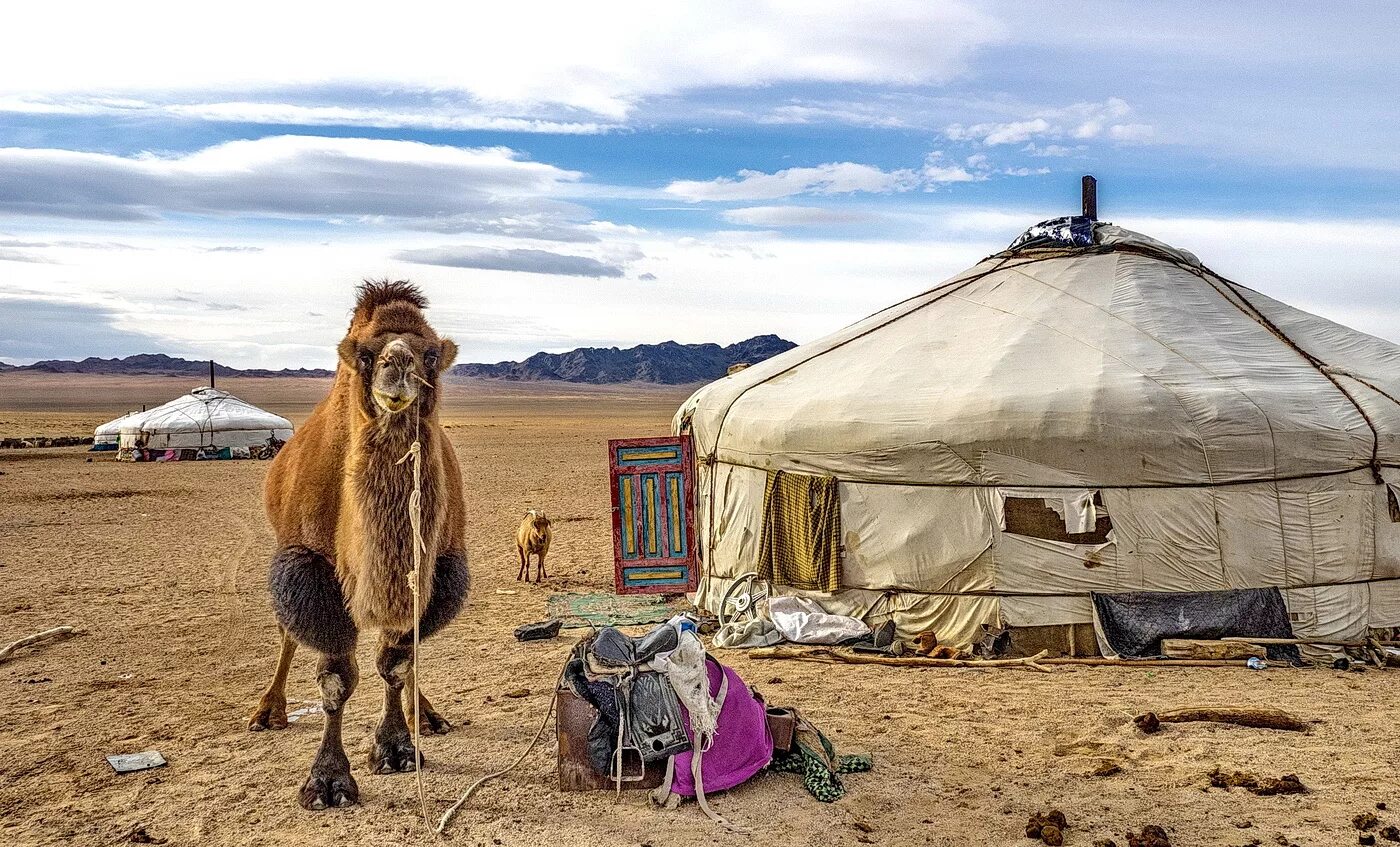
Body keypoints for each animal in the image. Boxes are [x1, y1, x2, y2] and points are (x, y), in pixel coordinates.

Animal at [246, 281, 470, 812]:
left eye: (430, 353)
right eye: (367, 354)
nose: (398, 364)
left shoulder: (435, 573)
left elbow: (396, 663)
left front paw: (397, 749)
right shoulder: (309, 569)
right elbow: (336, 679)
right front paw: (327, 781)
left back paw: (428, 715)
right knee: (288, 634)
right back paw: (268, 711)